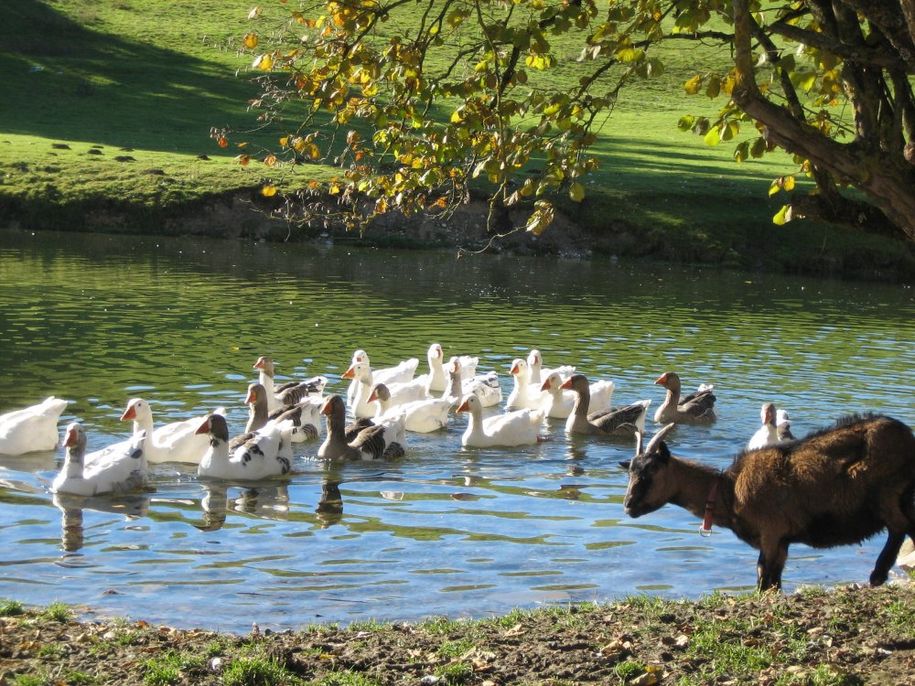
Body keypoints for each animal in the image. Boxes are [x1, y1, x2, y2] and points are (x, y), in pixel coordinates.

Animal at [620, 416, 915, 592]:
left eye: (651, 471)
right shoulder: (782, 542)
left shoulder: (771, 533)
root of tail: (907, 437)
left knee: (899, 527)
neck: (728, 490)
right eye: (631, 471)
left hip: (886, 493)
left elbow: (763, 576)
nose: (628, 505)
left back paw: (877, 574)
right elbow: (774, 582)